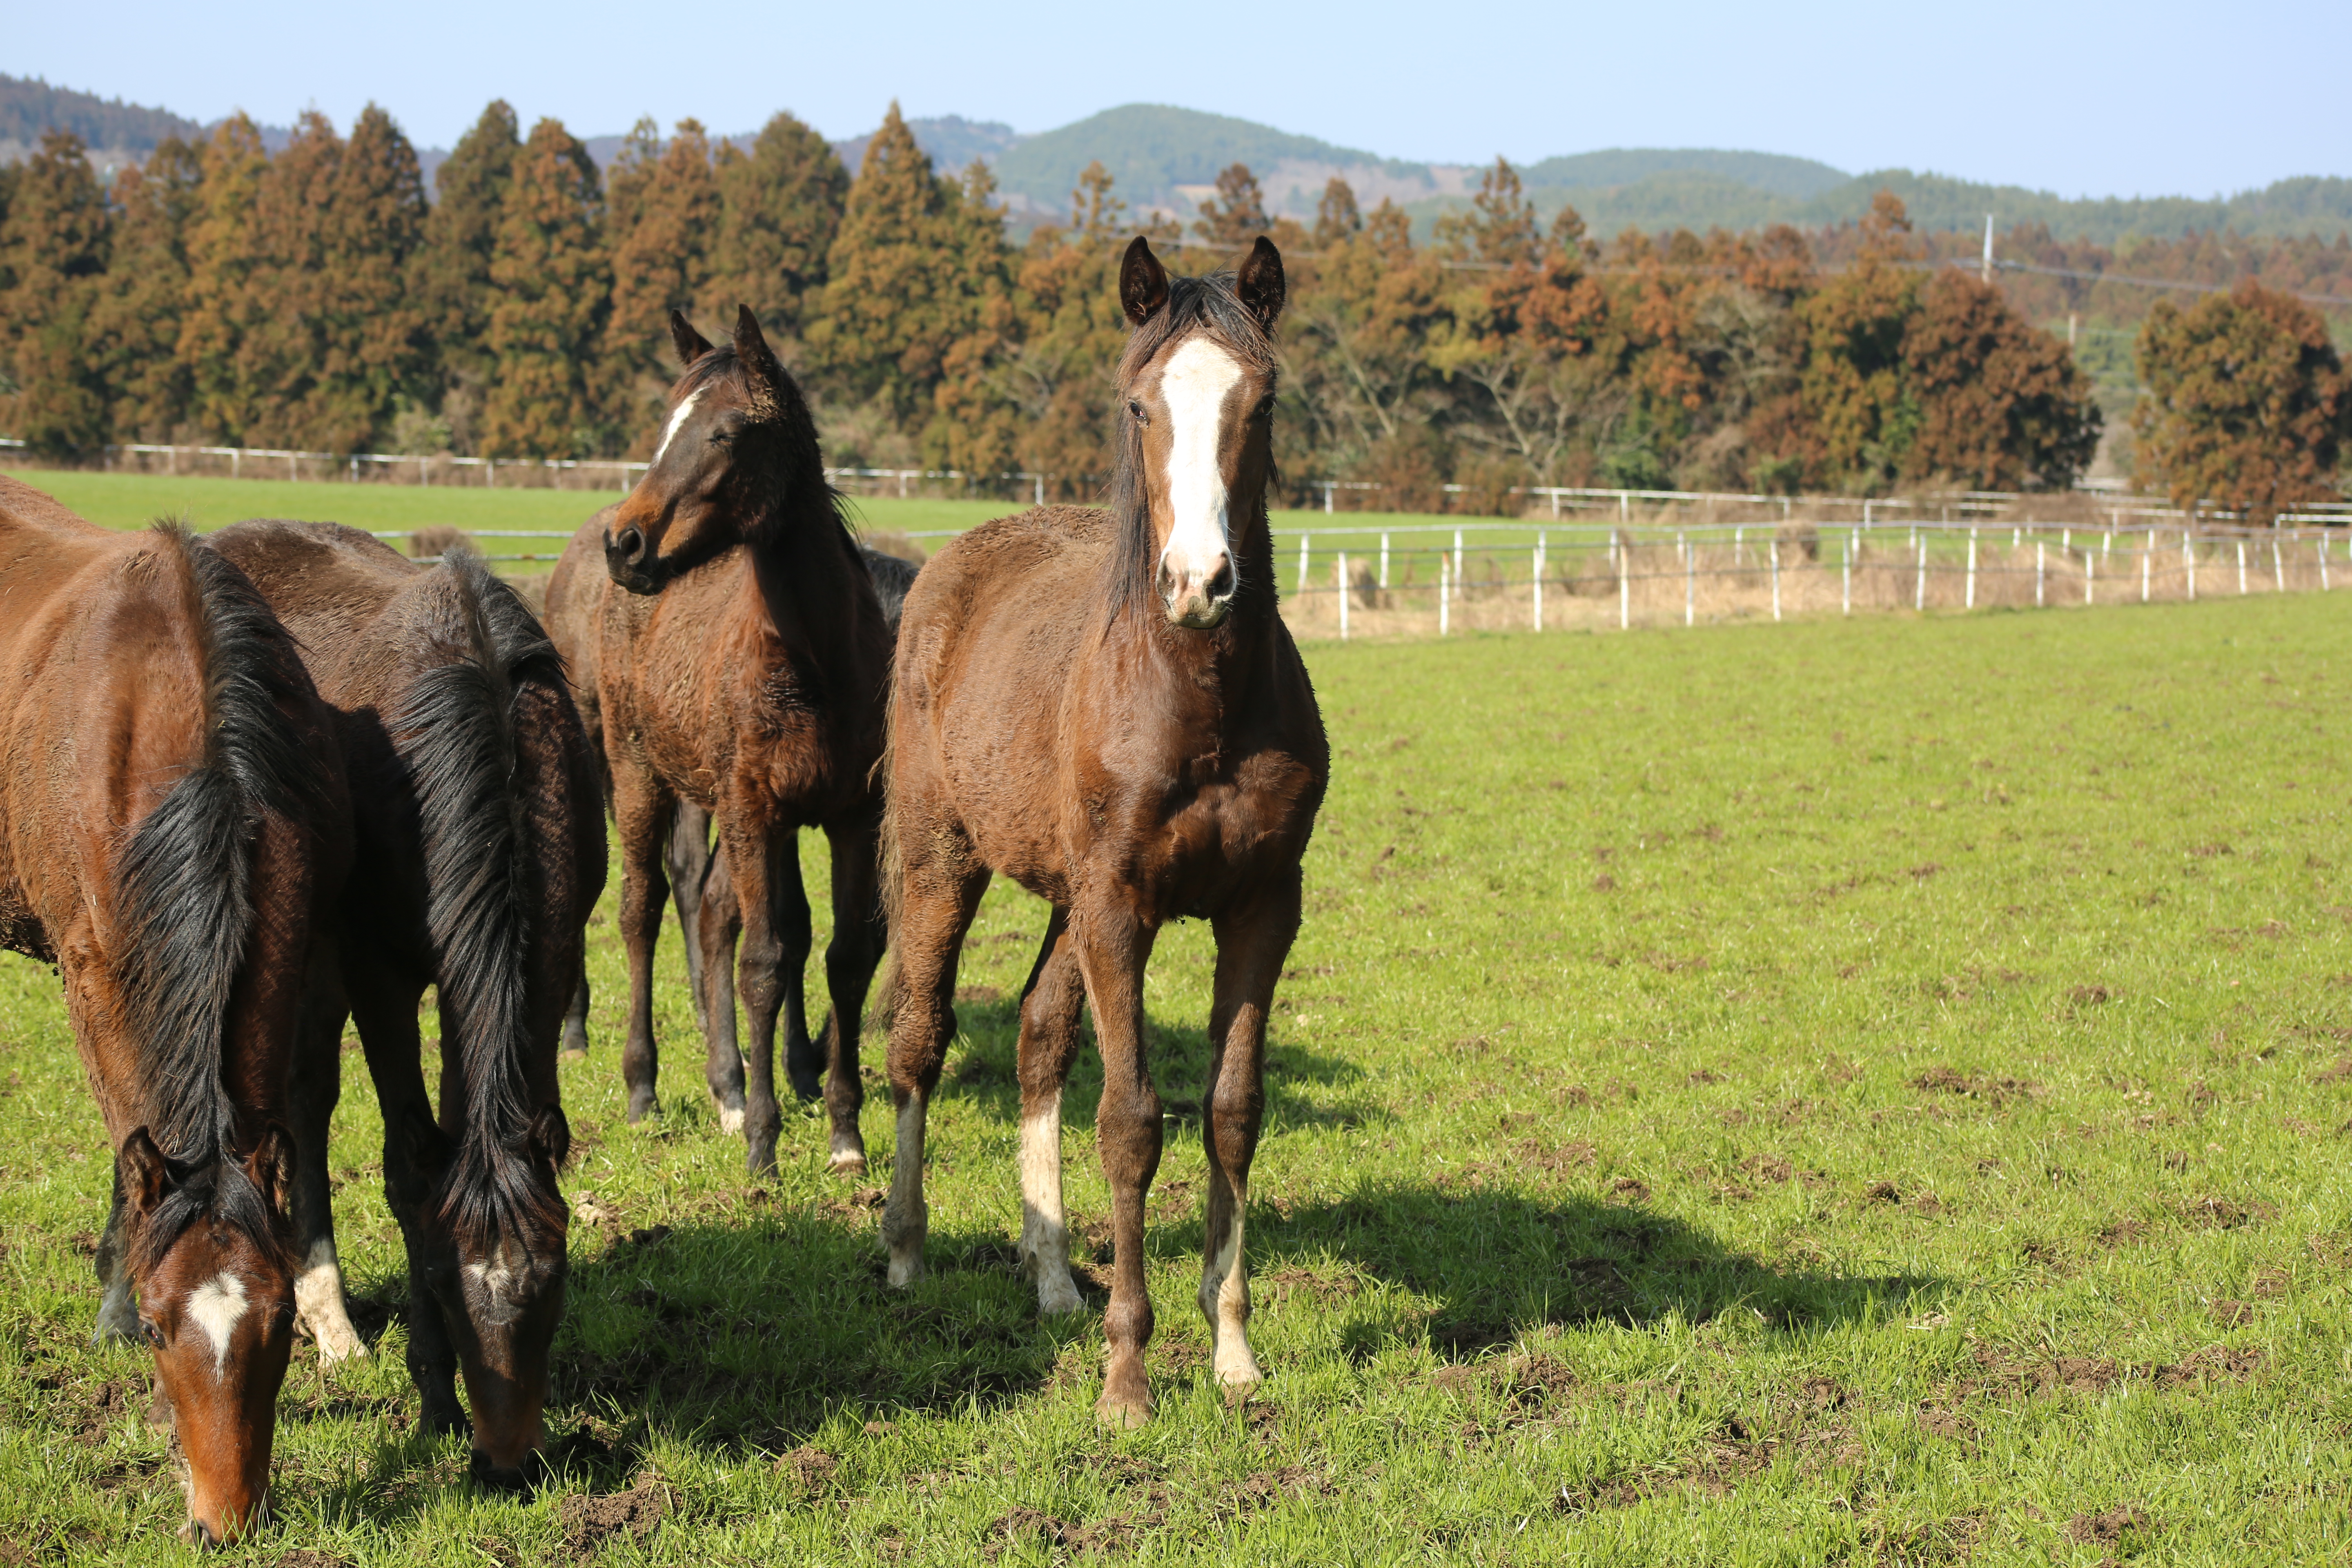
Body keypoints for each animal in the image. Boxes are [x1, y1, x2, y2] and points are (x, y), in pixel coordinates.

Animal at [209, 522, 607, 1495]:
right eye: (449, 1290)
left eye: (551, 1289)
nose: (505, 1466)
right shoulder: (378, 973)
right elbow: (411, 1170)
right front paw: (435, 1397)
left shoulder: (546, 962)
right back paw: (328, 1321)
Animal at [546, 305, 893, 1175]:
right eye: (667, 422)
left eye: (728, 432)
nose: (627, 545)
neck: (815, 655)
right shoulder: (753, 808)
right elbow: (764, 961)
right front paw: (767, 1141)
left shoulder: (851, 818)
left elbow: (844, 958)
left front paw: (844, 1133)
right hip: (641, 778)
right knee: (643, 912)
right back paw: (647, 1088)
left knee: (707, 913)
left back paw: (728, 1086)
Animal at [884, 240, 1326, 1429]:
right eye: (1139, 404)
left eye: (1261, 401)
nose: (1200, 583)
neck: (1196, 701)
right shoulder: (1122, 906)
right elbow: (1130, 1120)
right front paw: (1127, 1377)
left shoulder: (1260, 908)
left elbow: (1232, 1112)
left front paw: (1232, 1349)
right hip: (942, 862)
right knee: (918, 1039)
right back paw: (903, 1250)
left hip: (1064, 899)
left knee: (1037, 1038)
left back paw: (1048, 1278)